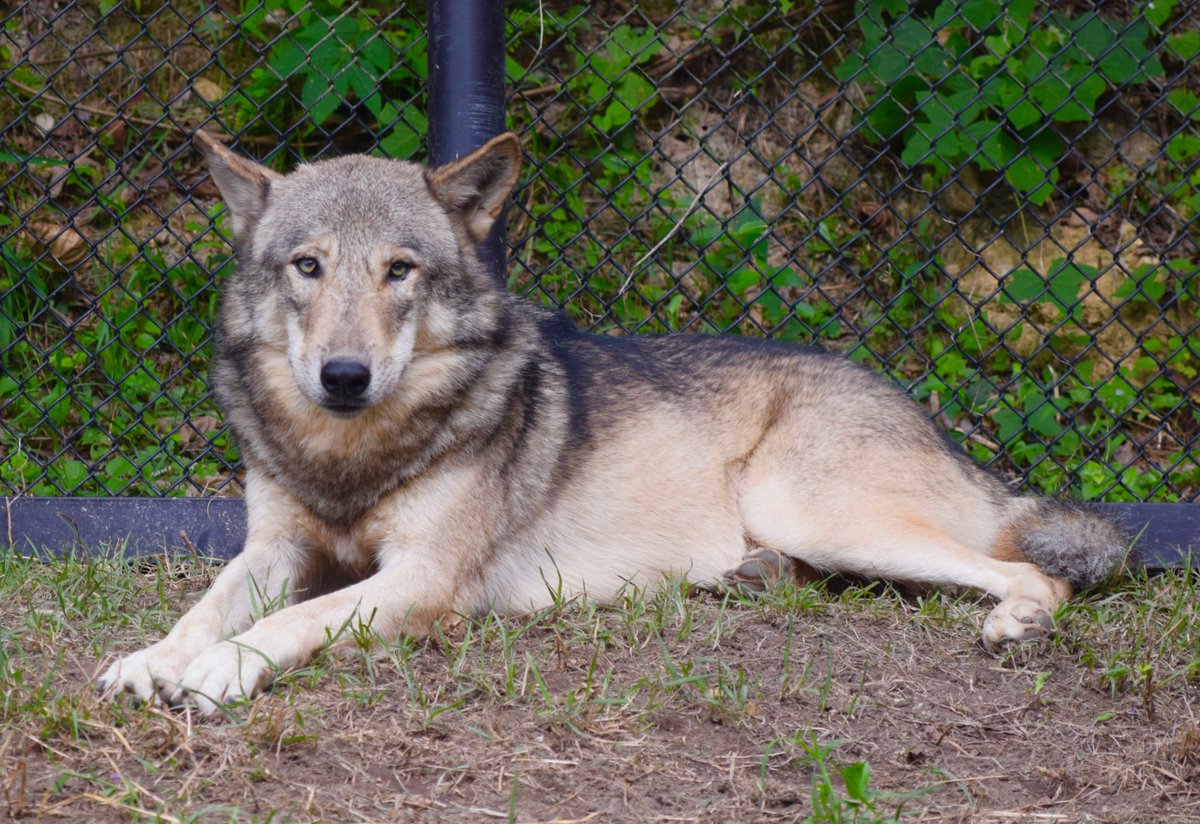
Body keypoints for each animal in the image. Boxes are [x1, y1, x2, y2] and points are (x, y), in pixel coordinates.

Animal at [96, 131, 1123, 710]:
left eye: (399, 270)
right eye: (307, 265)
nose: (343, 376)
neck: (349, 453)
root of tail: (923, 414)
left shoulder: (425, 581)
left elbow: (290, 622)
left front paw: (221, 670)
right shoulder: (274, 548)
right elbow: (203, 607)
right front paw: (151, 660)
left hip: (817, 508)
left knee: (1034, 572)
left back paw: (1014, 622)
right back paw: (750, 579)